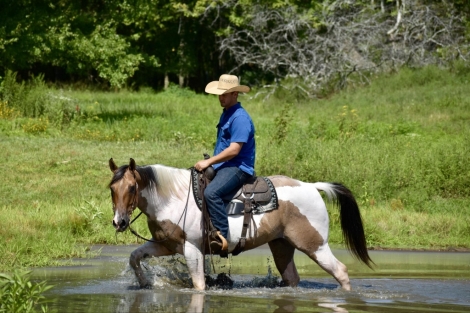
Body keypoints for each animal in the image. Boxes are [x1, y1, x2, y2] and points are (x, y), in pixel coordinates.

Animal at [107, 157, 374, 292]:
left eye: (132, 188)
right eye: (112, 188)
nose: (119, 222)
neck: (173, 198)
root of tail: (313, 186)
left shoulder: (192, 248)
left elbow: (199, 284)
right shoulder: (165, 245)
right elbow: (134, 257)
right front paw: (145, 283)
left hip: (315, 245)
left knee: (341, 271)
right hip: (282, 246)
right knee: (292, 278)